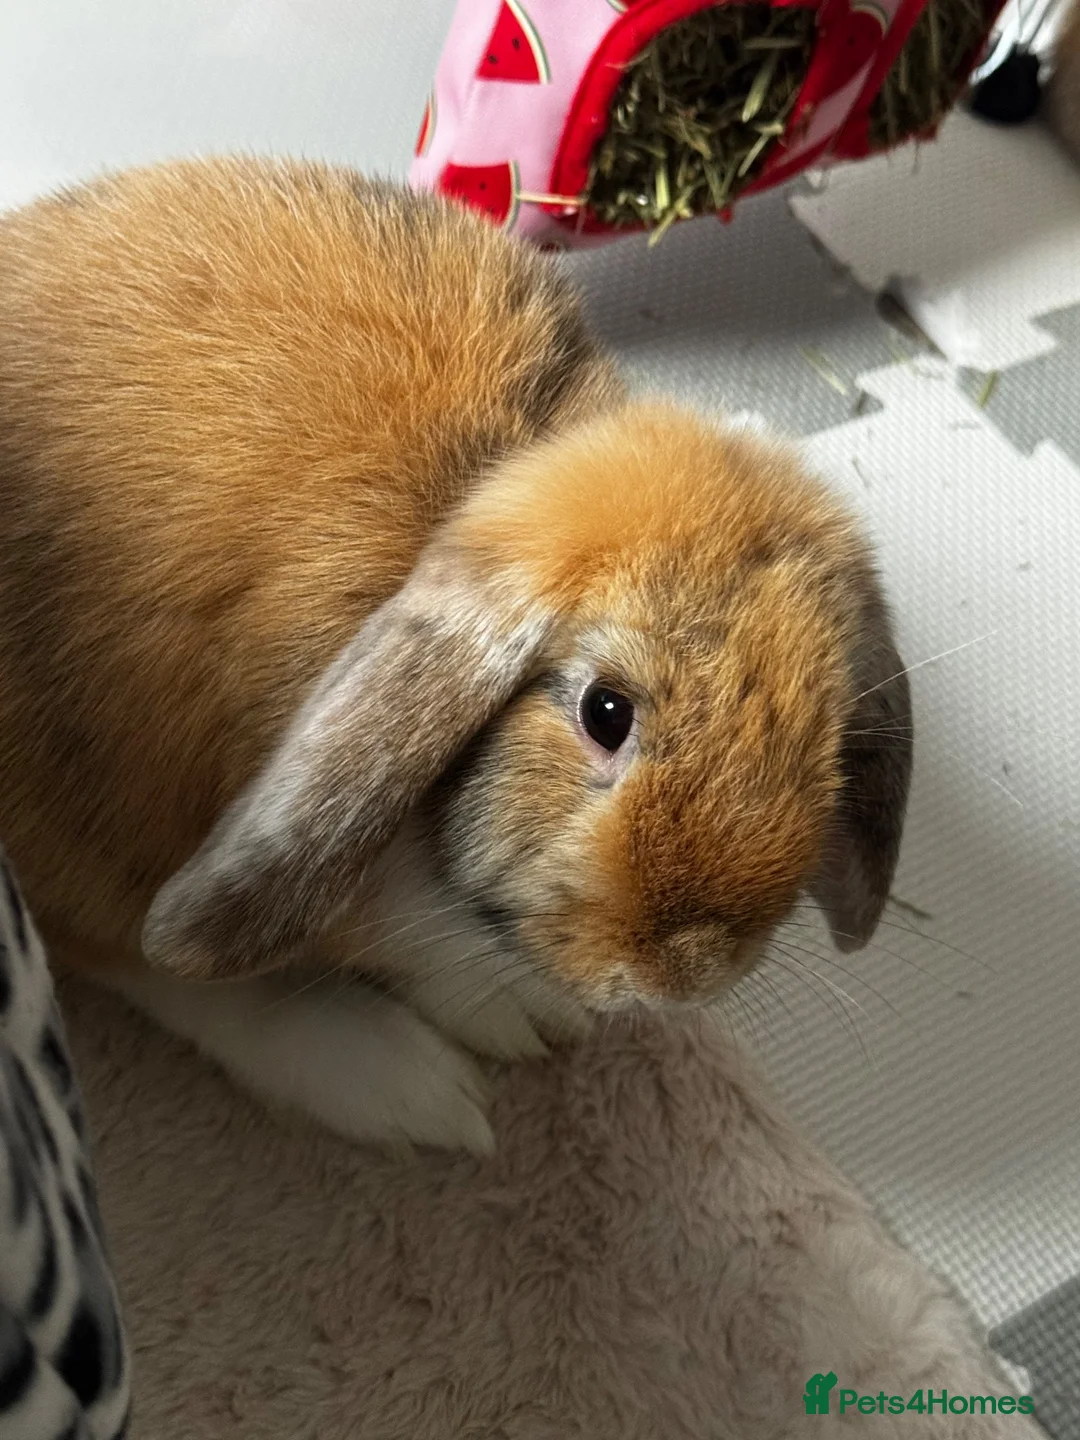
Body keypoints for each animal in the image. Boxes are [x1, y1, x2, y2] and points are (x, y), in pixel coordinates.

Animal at [0, 157, 912, 1153]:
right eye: (605, 712)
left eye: (824, 749)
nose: (685, 977)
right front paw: (523, 1023)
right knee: (148, 967)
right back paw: (406, 1084)